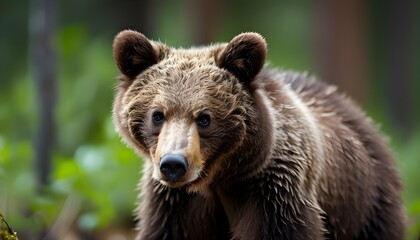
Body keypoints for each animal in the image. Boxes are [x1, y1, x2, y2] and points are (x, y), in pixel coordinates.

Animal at [110, 30, 404, 240]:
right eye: (157, 115)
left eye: (204, 118)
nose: (173, 163)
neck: (217, 179)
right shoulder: (175, 203)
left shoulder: (272, 190)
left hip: (365, 201)